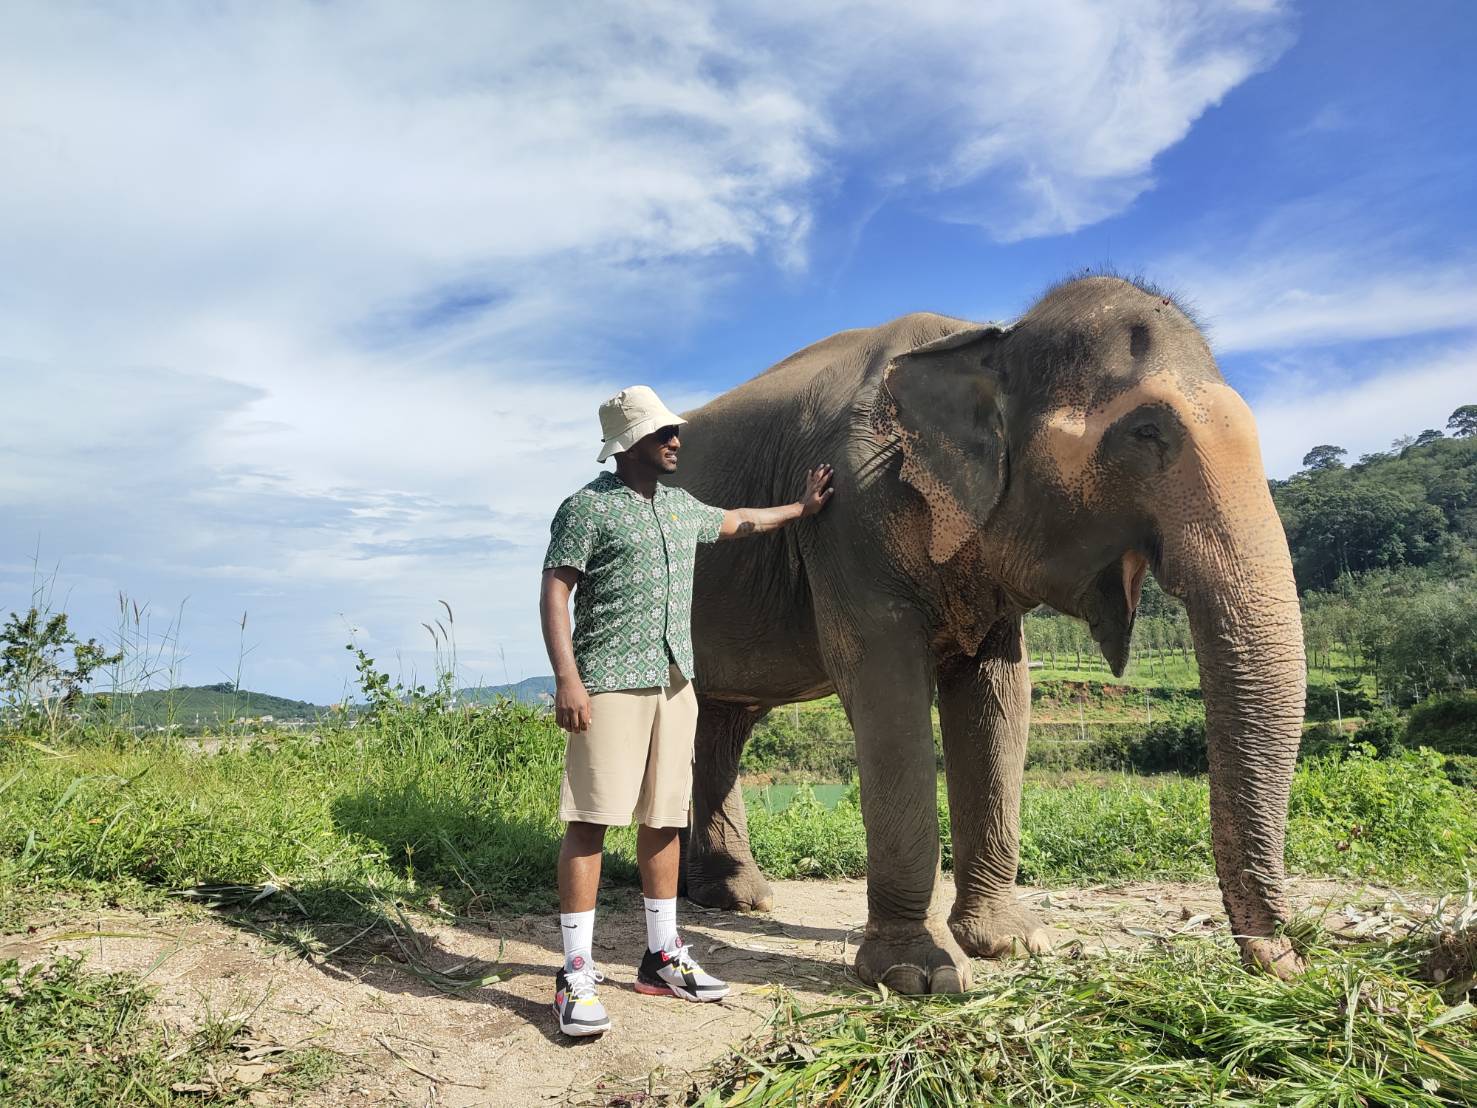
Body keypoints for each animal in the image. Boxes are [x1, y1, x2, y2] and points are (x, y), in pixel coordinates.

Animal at [667, 275, 1307, 994]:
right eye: (1145, 432)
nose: (1288, 962)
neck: (987, 339)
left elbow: (999, 700)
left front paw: (1013, 944)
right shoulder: (849, 517)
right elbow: (887, 690)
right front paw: (919, 976)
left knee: (719, 724)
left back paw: (731, 898)